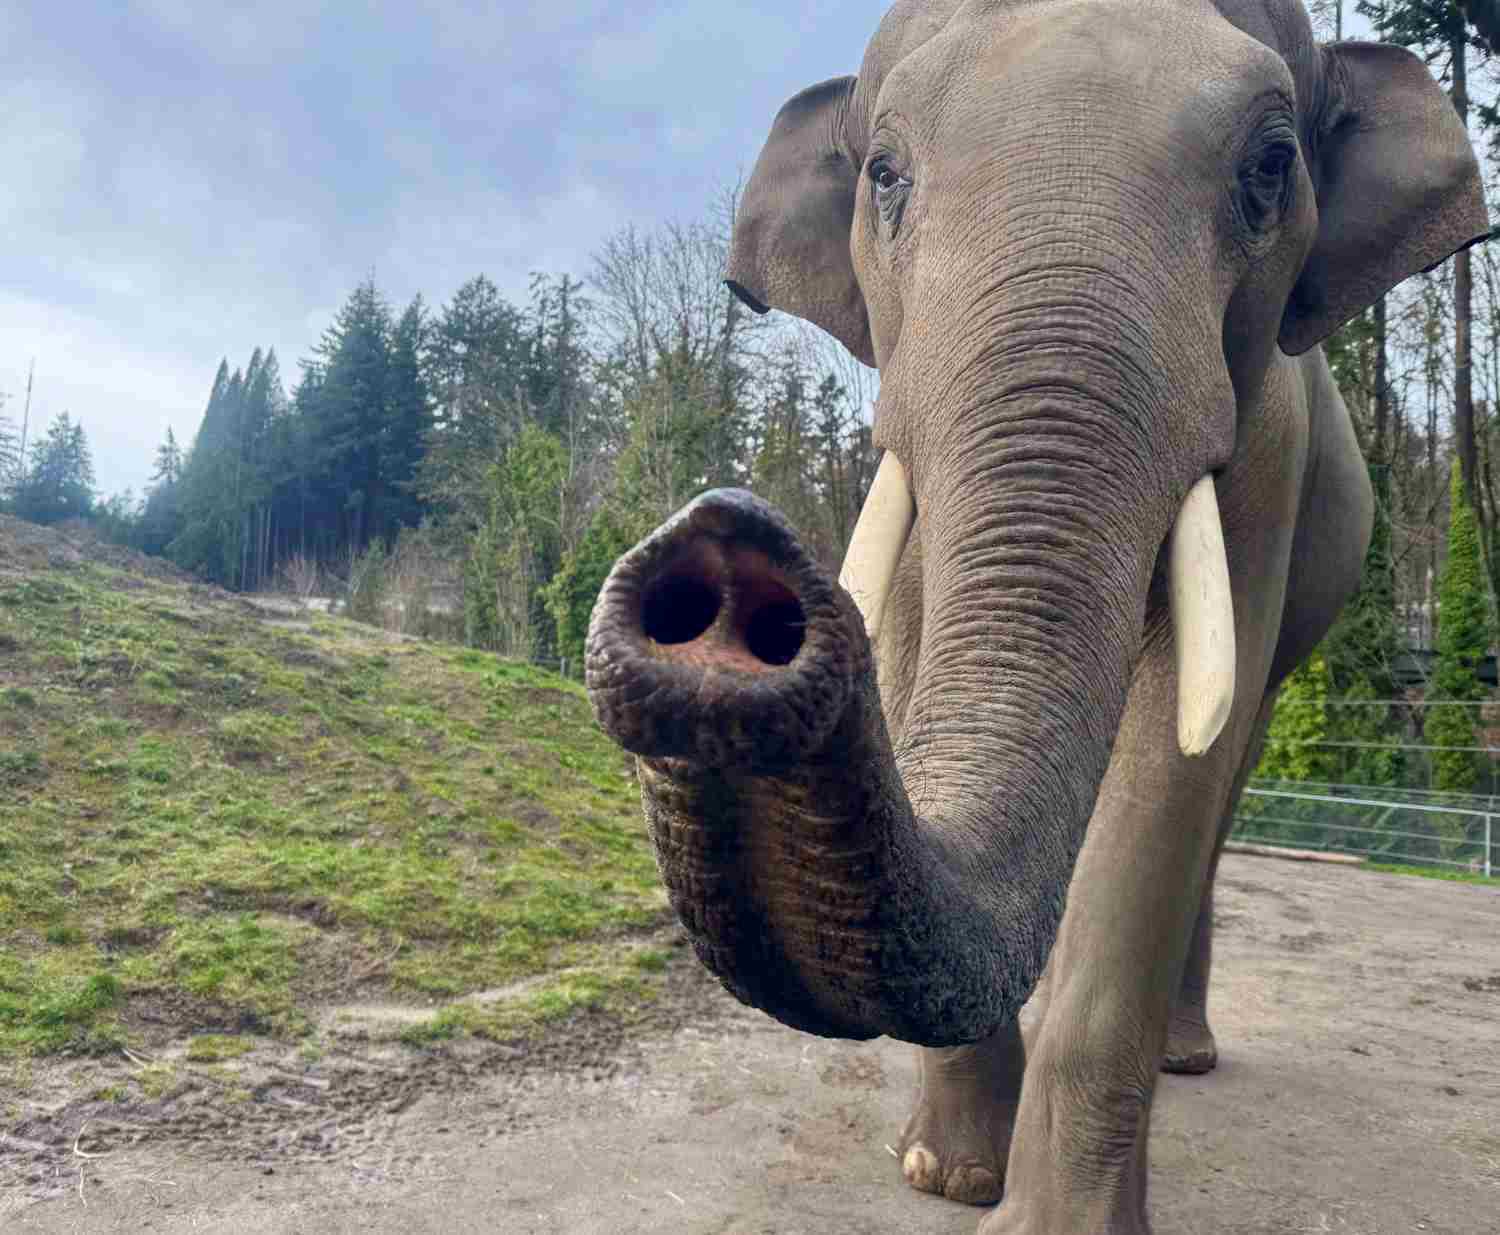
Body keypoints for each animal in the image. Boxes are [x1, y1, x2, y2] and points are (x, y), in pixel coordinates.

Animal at [584, 1, 1488, 1231]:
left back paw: (1185, 1053)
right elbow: (911, 653)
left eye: (1271, 167)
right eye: (884, 173)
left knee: (1225, 772)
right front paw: (947, 1173)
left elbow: (1171, 750)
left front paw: (1044, 1216)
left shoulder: (1269, 453)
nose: (727, 565)